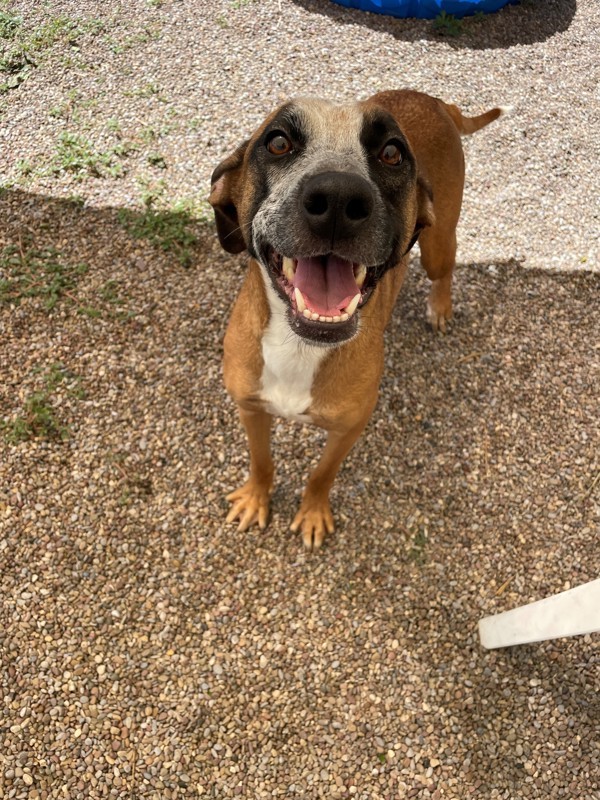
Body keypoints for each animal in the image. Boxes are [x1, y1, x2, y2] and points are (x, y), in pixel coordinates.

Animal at [209, 89, 504, 552]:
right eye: (278, 142)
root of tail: (432, 99)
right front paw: (257, 497)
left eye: (391, 153)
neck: (301, 347)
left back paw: (440, 307)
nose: (338, 198)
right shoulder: (251, 408)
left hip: (438, 245)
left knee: (446, 266)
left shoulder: (348, 429)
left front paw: (312, 512)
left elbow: (321, 474)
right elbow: (261, 461)